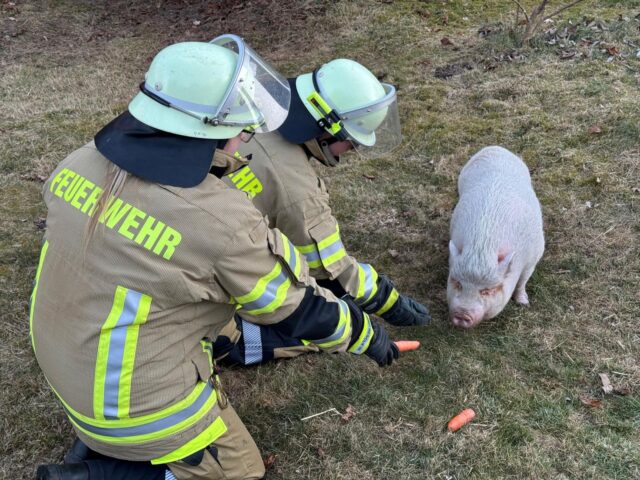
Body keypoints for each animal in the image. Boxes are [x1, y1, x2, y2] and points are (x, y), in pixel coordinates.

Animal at [447, 146, 544, 328]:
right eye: (458, 283)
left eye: (487, 291)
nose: (462, 314)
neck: (482, 248)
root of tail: (495, 148)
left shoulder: (533, 258)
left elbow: (523, 281)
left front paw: (523, 303)